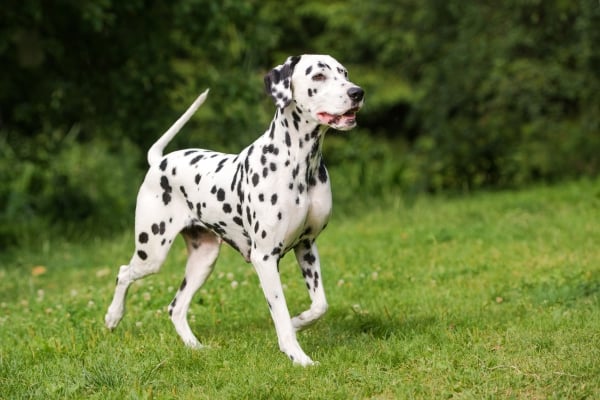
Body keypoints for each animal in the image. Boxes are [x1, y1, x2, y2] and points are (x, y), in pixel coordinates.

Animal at [105, 54, 364, 368]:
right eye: (318, 76)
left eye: (344, 73)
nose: (357, 92)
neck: (300, 164)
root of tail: (159, 162)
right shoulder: (265, 258)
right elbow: (279, 312)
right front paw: (297, 355)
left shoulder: (307, 246)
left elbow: (319, 305)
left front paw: (298, 322)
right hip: (151, 253)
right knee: (123, 273)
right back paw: (113, 317)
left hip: (203, 261)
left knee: (175, 307)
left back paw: (195, 347)